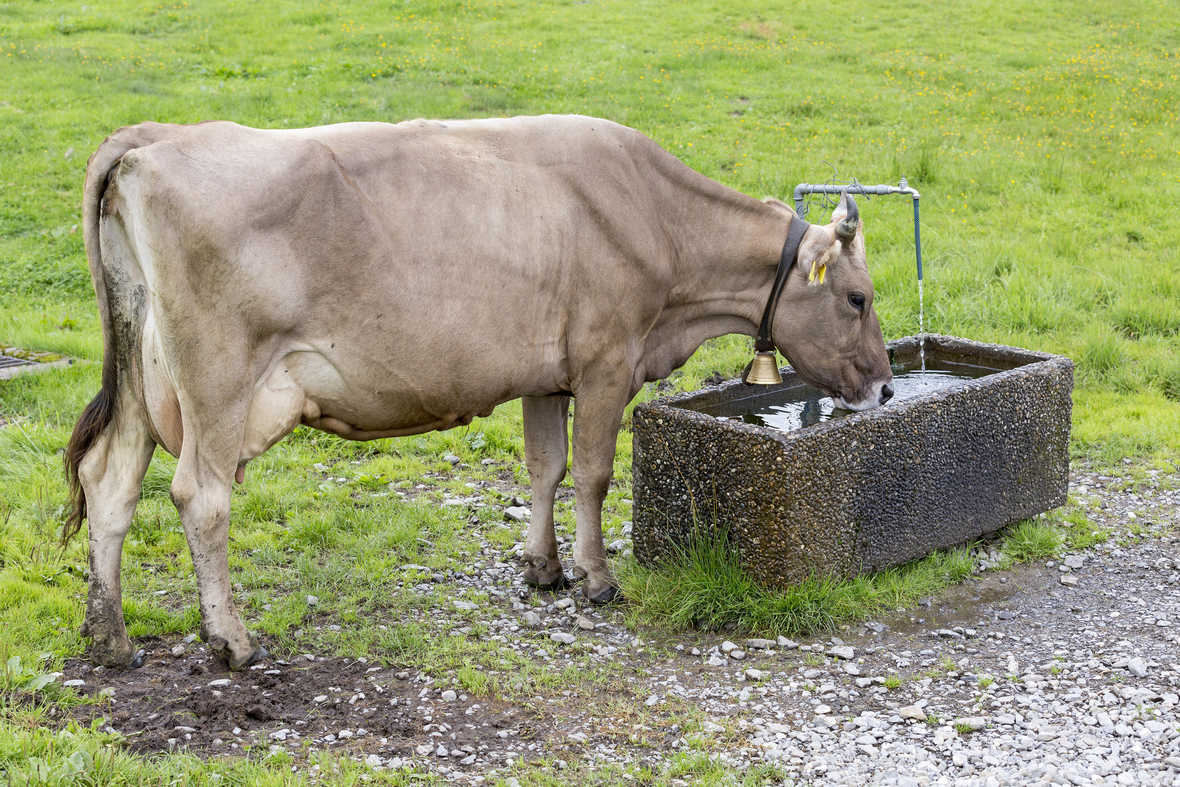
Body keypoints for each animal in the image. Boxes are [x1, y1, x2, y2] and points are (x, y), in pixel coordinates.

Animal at [62, 115, 892, 670]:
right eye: (857, 298)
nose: (886, 387)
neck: (658, 219)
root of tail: (152, 139)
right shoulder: (605, 359)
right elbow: (594, 474)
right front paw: (597, 578)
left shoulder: (546, 373)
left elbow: (546, 469)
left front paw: (543, 567)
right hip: (218, 379)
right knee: (200, 495)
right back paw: (230, 639)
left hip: (141, 371)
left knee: (110, 480)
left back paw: (110, 637)